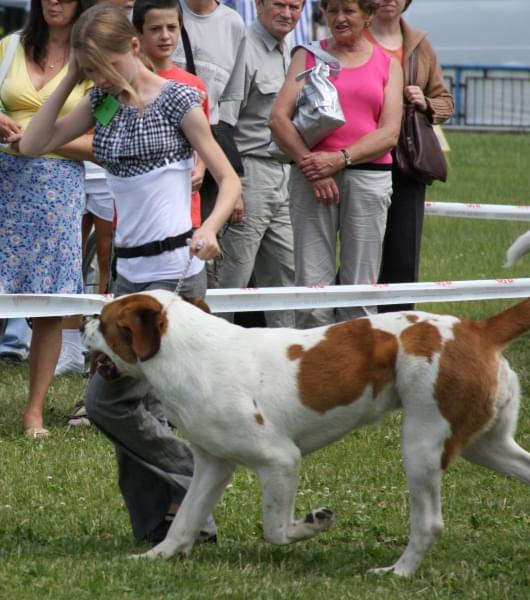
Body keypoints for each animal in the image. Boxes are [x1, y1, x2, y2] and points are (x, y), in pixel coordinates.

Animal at [80, 290, 524, 576]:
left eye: (103, 320)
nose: (82, 319)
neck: (189, 354)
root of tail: (478, 329)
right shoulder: (213, 464)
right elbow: (184, 521)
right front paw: (157, 557)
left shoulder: (280, 460)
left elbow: (276, 530)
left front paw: (315, 523)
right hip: (488, 445)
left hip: (421, 446)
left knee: (429, 523)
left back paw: (397, 572)